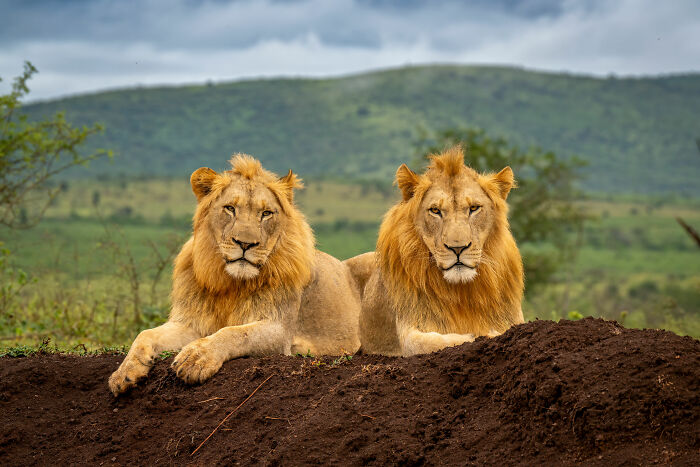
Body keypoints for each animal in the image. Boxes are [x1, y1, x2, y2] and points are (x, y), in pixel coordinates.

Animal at [109, 155, 361, 395]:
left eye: (266, 213)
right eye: (230, 208)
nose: (245, 243)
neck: (231, 283)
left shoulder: (280, 330)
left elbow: (234, 333)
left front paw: (196, 358)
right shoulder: (192, 323)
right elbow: (145, 334)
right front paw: (124, 373)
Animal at [345, 146, 524, 356]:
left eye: (474, 208)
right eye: (435, 210)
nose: (457, 248)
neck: (462, 290)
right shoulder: (409, 329)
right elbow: (433, 343)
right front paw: (481, 335)